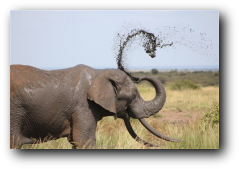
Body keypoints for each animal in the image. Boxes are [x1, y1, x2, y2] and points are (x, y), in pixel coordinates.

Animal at [10, 64, 180, 149]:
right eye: (133, 96)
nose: (138, 77)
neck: (100, 73)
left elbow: (75, 141)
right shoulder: (83, 106)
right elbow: (83, 141)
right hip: (15, 110)